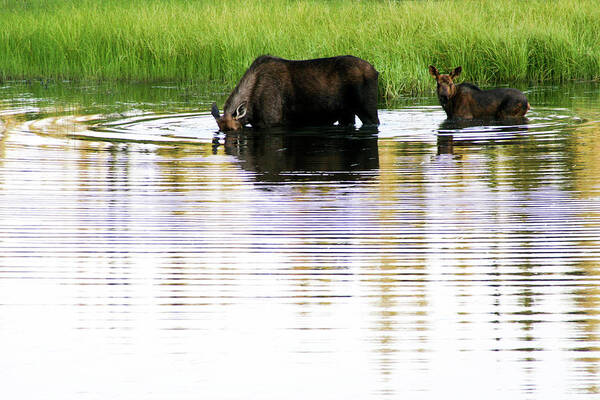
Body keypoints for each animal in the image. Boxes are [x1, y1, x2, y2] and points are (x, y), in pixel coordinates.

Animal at [212, 54, 380, 130]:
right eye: (221, 129)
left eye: (234, 129)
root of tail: (375, 71)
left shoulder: (273, 121)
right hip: (346, 113)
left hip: (367, 109)